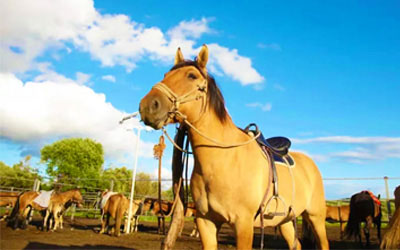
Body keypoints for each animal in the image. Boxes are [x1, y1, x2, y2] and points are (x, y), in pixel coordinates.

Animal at [139, 45, 330, 250]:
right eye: (165, 74)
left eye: (191, 76)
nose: (148, 106)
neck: (223, 160)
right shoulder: (206, 222)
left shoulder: (243, 223)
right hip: (285, 220)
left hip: (316, 218)